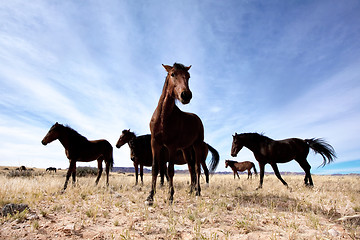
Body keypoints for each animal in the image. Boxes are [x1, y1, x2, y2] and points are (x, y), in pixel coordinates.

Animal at [146, 63, 219, 204]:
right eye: (172, 74)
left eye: (188, 76)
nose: (186, 95)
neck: (163, 118)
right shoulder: (155, 143)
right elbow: (154, 168)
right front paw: (150, 196)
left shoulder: (172, 146)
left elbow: (170, 171)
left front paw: (170, 196)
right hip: (186, 149)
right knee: (191, 169)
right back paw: (191, 191)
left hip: (197, 146)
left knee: (197, 169)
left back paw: (197, 191)